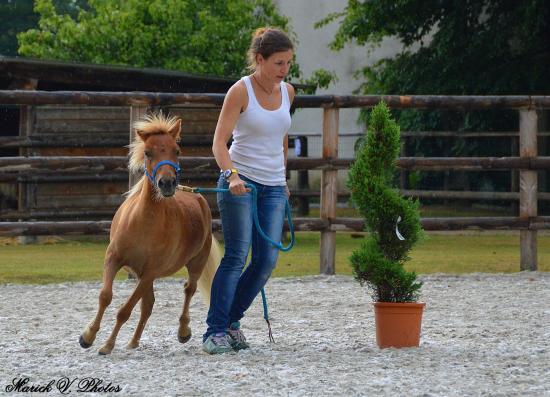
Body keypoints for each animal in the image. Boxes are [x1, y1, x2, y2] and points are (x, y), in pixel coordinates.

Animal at [80, 110, 222, 352]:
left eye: (177, 150)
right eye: (147, 152)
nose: (167, 183)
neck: (143, 224)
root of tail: (197, 197)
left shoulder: (150, 272)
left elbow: (124, 310)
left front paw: (107, 345)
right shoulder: (114, 259)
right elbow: (105, 296)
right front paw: (88, 336)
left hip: (195, 263)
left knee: (188, 289)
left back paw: (183, 331)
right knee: (148, 305)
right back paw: (133, 342)